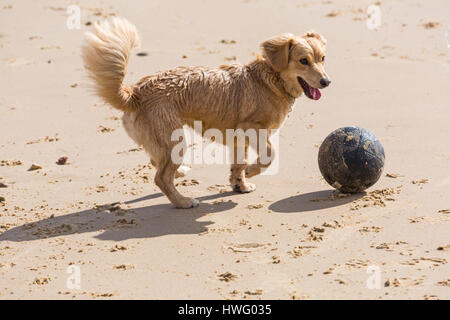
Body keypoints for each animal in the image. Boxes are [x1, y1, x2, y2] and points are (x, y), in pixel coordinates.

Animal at [82, 17, 330, 209]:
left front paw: (240, 184)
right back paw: (183, 202)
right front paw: (251, 172)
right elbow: (269, 155)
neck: (270, 79)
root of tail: (135, 93)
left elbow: (238, 164)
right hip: (176, 140)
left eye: (322, 58)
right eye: (303, 61)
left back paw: (180, 174)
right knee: (161, 178)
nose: (326, 82)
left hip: (164, 142)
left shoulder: (239, 139)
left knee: (157, 162)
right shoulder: (252, 128)